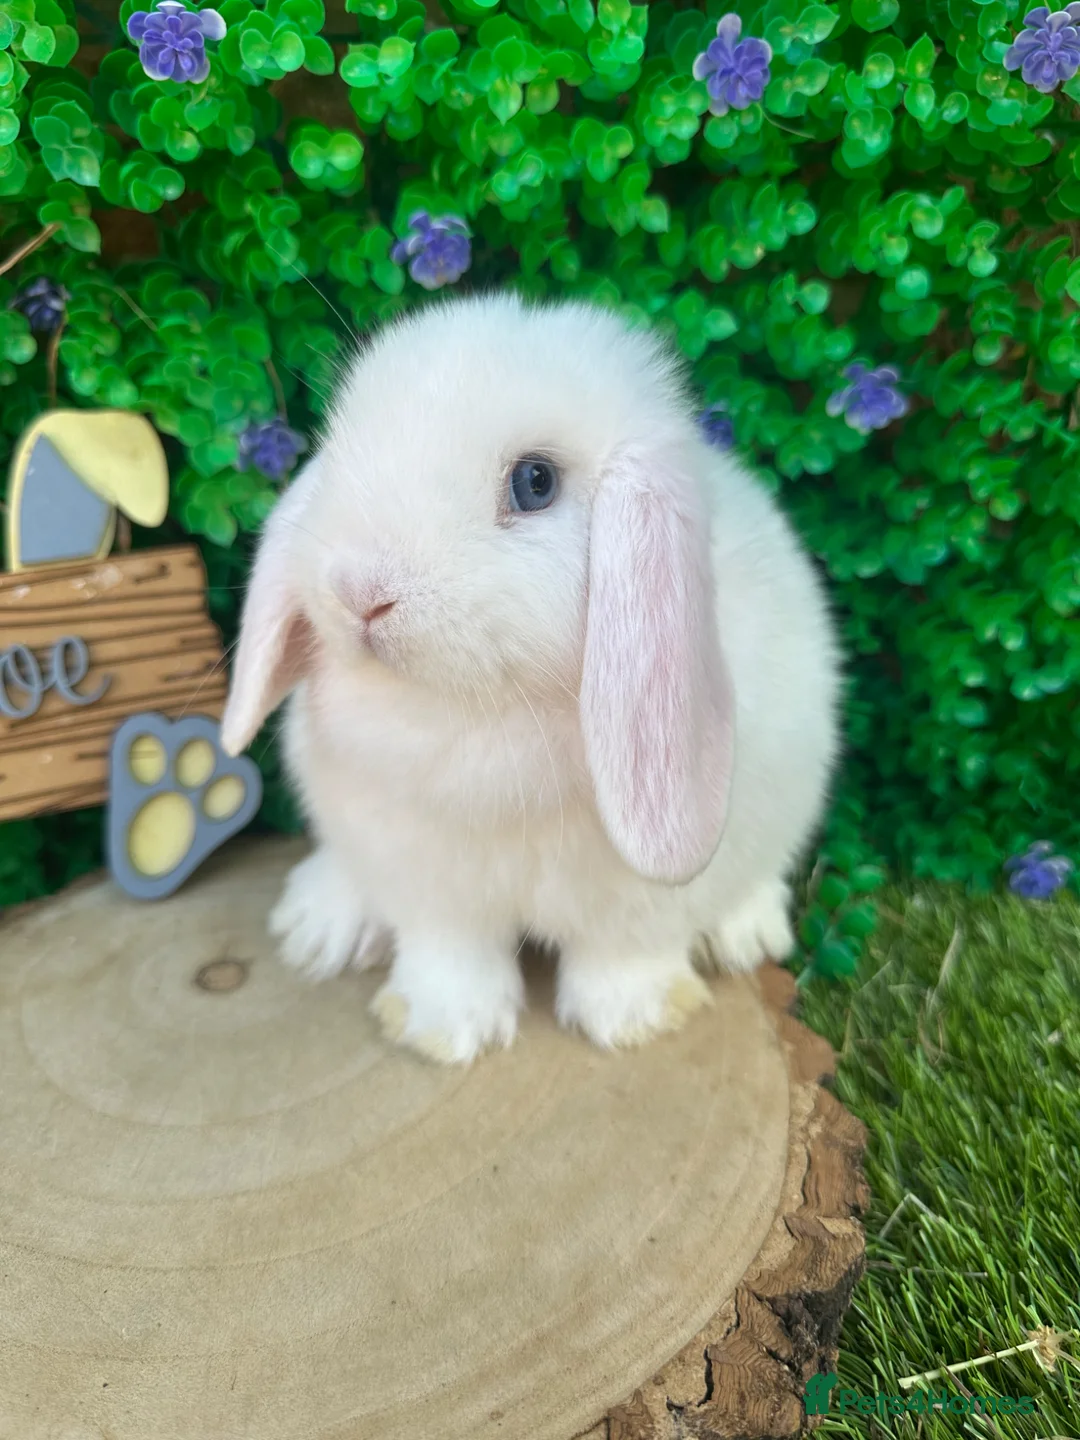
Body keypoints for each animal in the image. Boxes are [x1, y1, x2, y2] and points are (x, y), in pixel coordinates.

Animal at [221, 293, 841, 1064]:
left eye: (535, 482)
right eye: (340, 452)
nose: (358, 591)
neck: (474, 711)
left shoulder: (638, 900)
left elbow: (625, 952)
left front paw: (632, 1022)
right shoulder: (425, 872)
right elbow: (447, 952)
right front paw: (440, 1033)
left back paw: (745, 934)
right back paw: (318, 924)